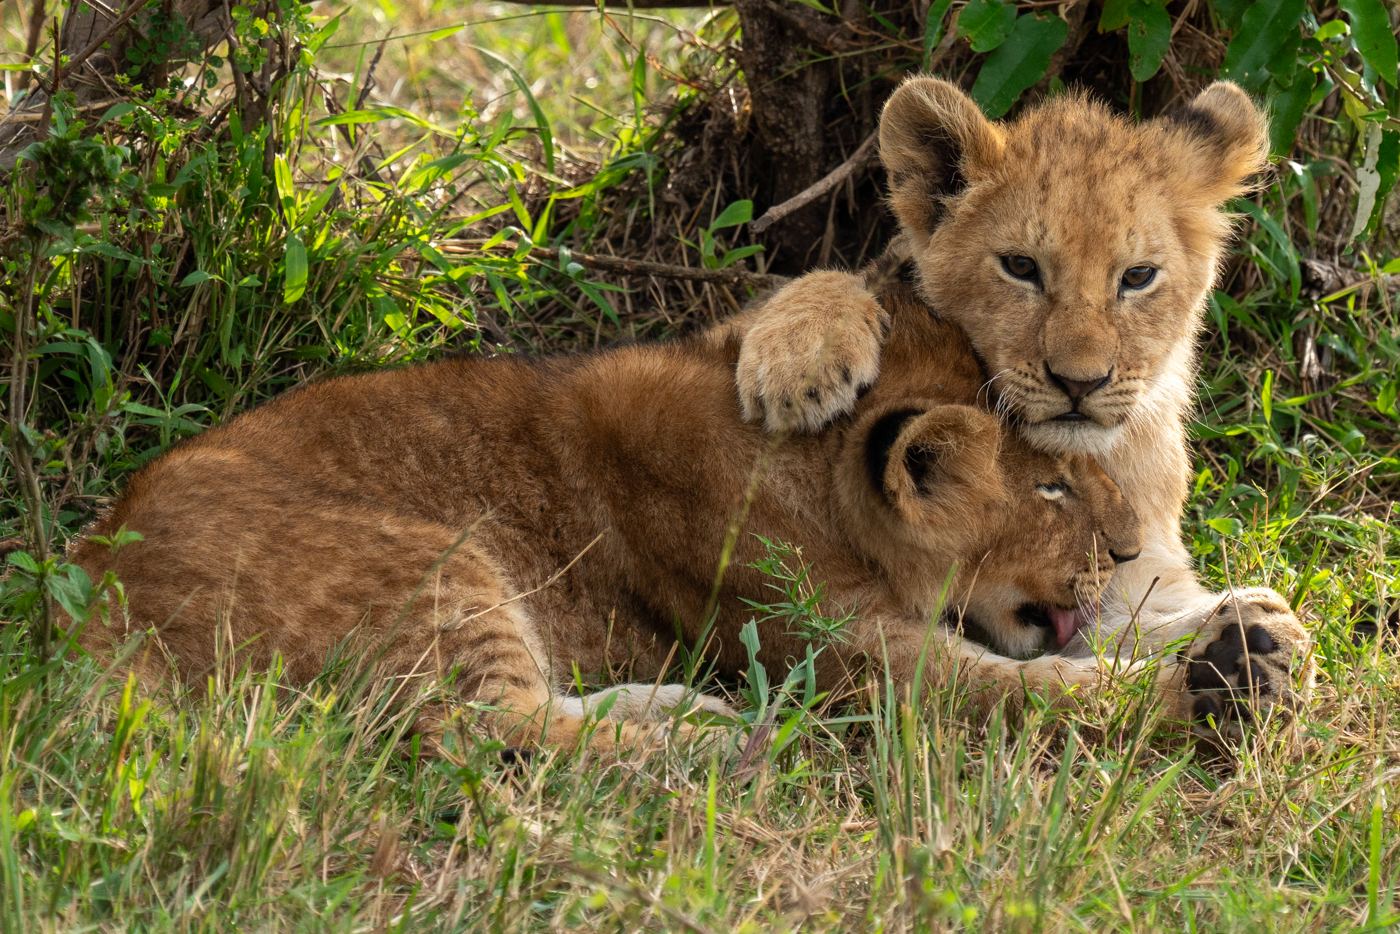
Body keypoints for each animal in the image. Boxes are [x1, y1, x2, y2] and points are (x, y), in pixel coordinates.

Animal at [71, 275, 1154, 754]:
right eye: (1051, 487)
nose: (1130, 549)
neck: (801, 473)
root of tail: (89, 589)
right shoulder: (827, 647)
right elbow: (993, 689)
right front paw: (1164, 691)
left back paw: (682, 708)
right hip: (439, 562)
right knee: (489, 729)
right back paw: (712, 740)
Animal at [728, 76, 1315, 733]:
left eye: (1138, 277)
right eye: (1020, 267)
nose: (1080, 383)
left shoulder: (1131, 574)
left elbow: (1139, 623)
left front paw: (1263, 643)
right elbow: (852, 278)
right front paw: (797, 358)